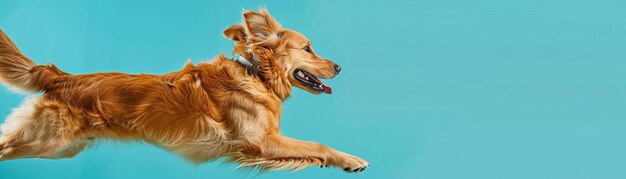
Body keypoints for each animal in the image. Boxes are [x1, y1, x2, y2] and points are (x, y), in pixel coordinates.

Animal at [0, 9, 368, 173]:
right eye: (308, 48)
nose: (339, 67)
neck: (256, 75)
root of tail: (59, 76)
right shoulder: (261, 141)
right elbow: (318, 145)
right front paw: (352, 160)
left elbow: (312, 150)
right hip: (46, 139)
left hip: (61, 148)